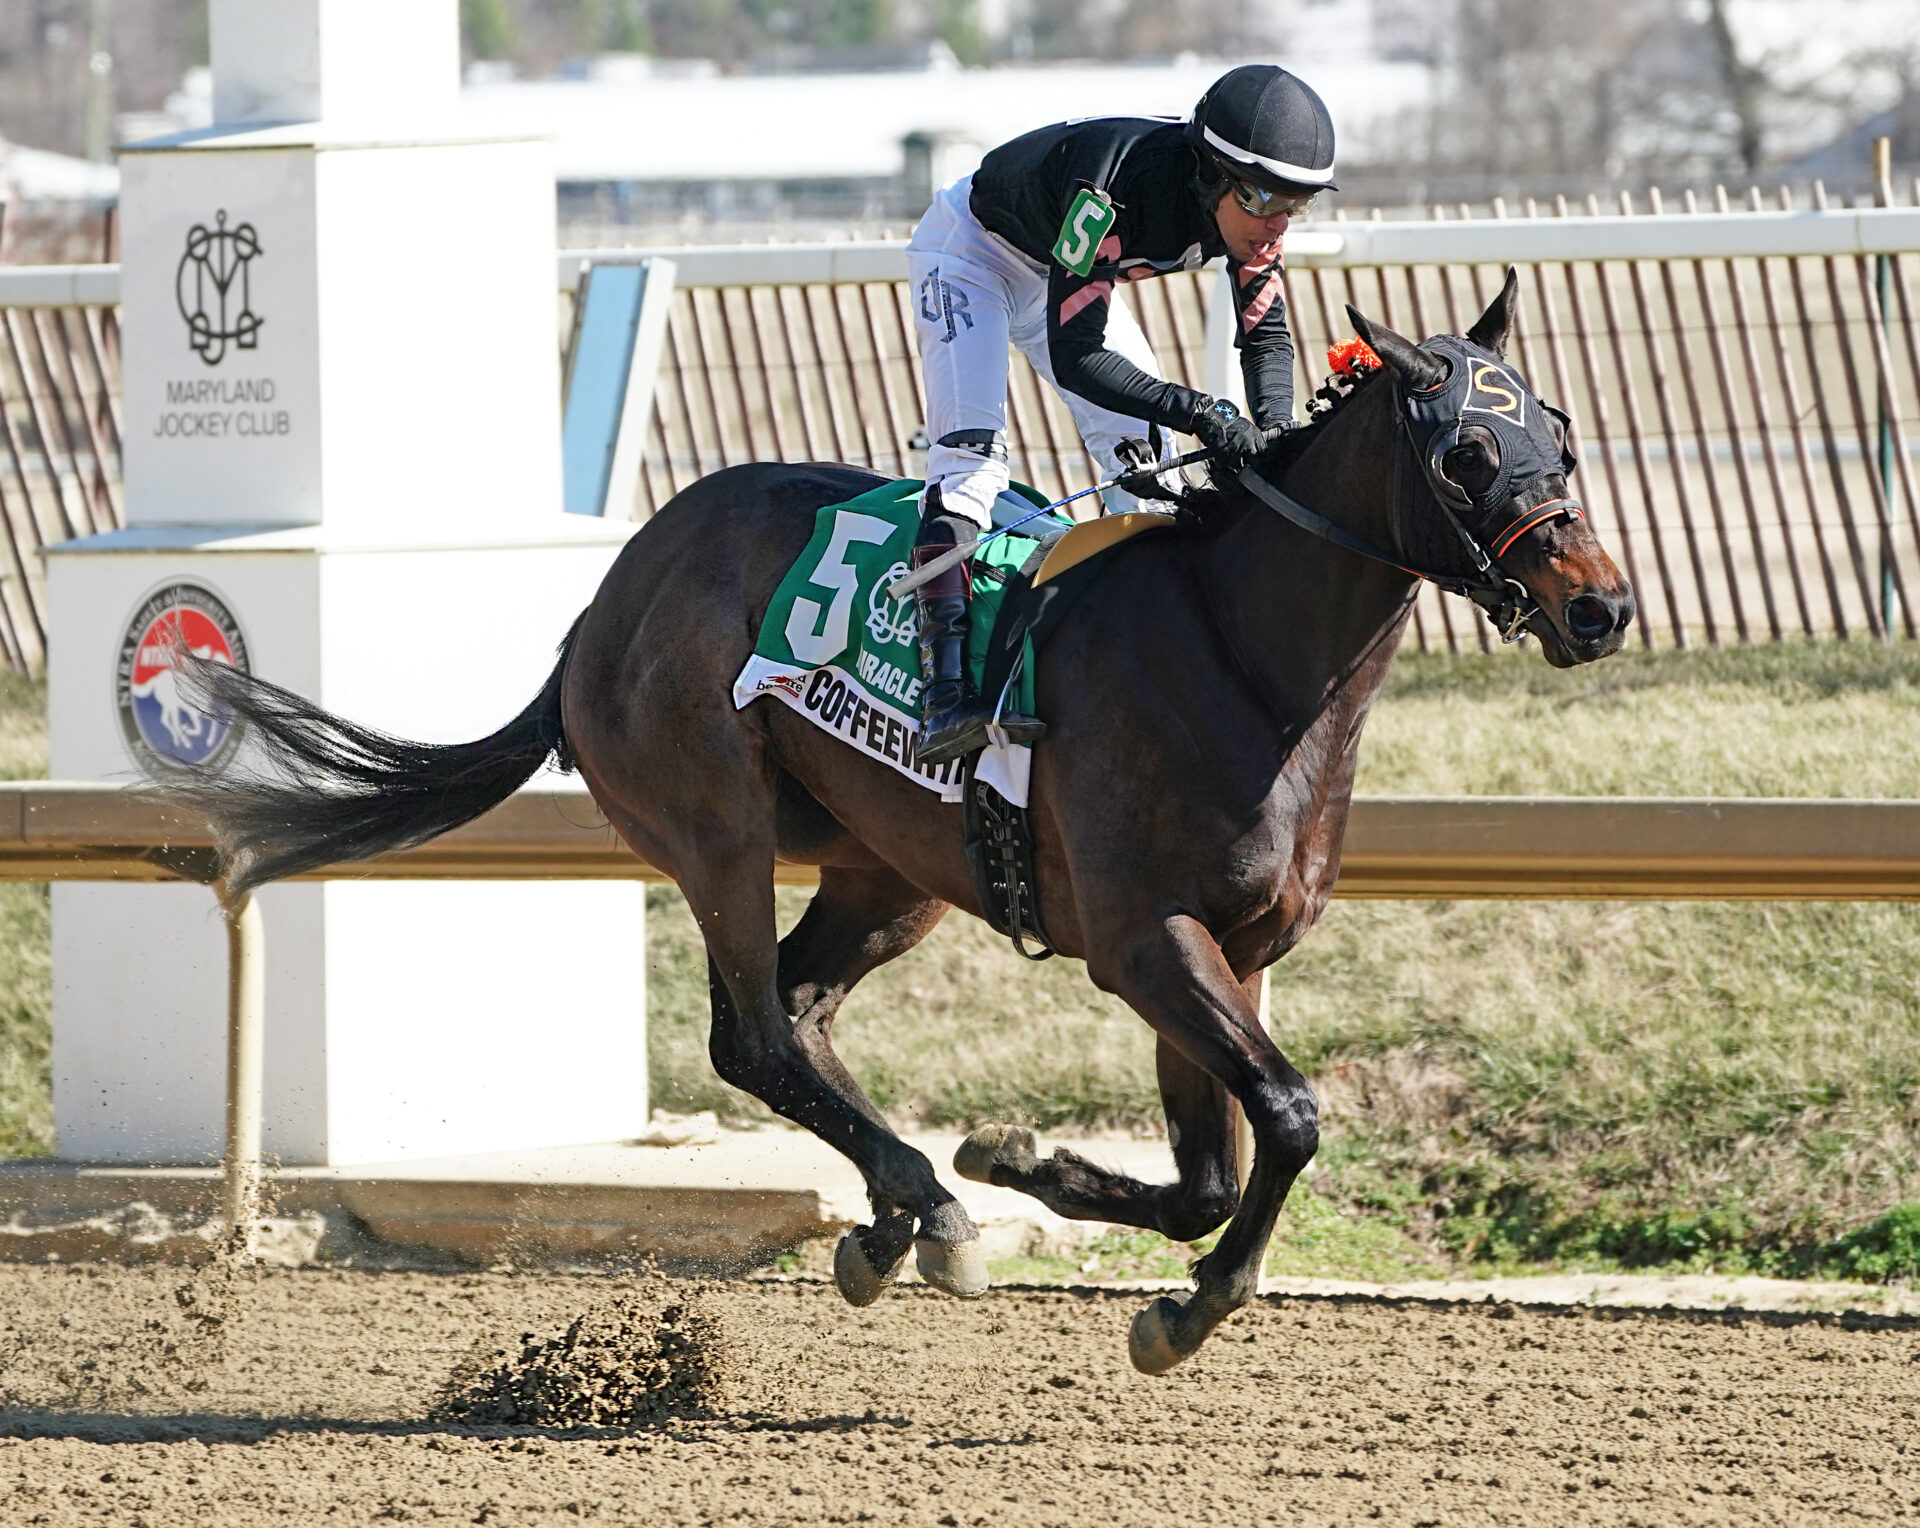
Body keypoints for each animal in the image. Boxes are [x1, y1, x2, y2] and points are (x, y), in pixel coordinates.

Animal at [172, 270, 1635, 1374]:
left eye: (1561, 433)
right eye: (1464, 451)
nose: (1601, 607)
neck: (1245, 659)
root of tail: (598, 603)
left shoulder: (1228, 946)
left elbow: (1217, 1167)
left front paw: (1032, 1162)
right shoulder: (1143, 938)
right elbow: (1286, 1115)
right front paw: (1180, 1309)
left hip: (892, 870)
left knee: (805, 1009)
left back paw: (896, 1217)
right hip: (713, 824)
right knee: (756, 1033)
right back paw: (926, 1205)